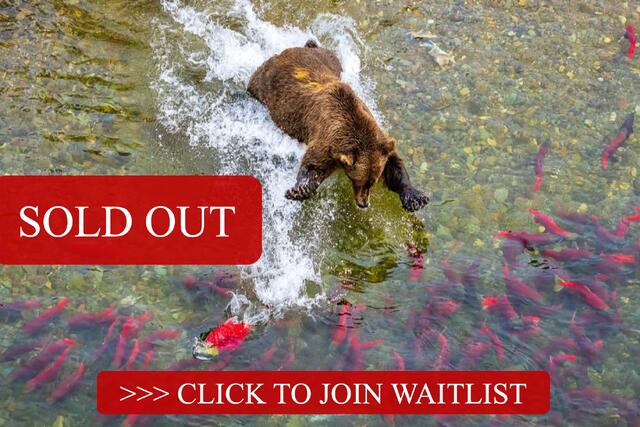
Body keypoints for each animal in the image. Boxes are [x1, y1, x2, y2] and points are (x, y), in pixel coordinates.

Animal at [248, 39, 429, 211]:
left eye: (373, 181)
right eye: (357, 180)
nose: (363, 203)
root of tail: (285, 52)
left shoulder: (377, 141)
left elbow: (394, 166)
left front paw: (416, 199)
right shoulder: (326, 140)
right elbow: (313, 165)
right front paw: (299, 190)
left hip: (328, 58)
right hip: (263, 82)